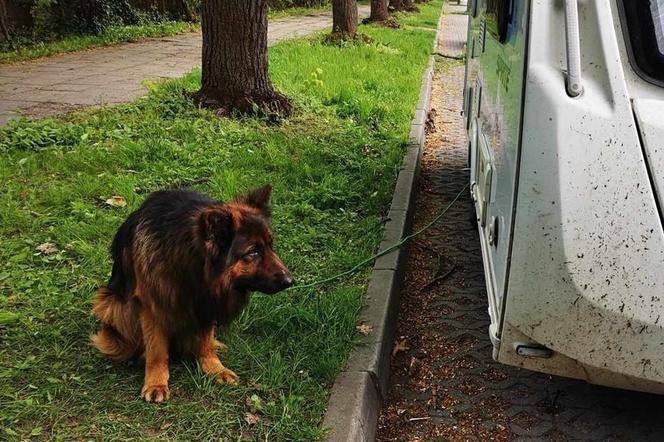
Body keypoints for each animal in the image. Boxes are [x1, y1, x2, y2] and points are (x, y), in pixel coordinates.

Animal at [91, 185, 294, 402]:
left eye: (270, 246)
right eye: (253, 252)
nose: (290, 281)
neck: (191, 265)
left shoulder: (207, 302)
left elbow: (205, 341)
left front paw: (214, 367)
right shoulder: (153, 305)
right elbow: (156, 349)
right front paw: (156, 383)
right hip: (111, 305)